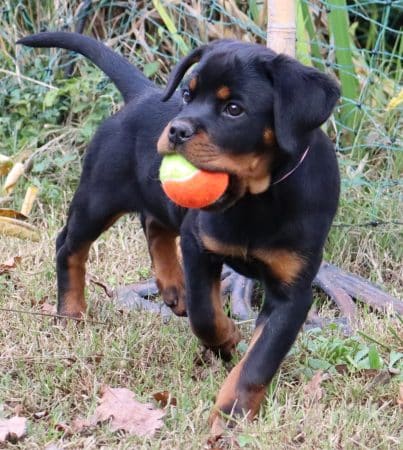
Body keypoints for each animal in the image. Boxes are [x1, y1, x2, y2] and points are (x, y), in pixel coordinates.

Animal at [19, 32, 340, 428]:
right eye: (187, 95)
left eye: (235, 109)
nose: (176, 129)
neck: (257, 198)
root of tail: (142, 93)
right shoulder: (199, 243)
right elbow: (205, 315)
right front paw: (227, 340)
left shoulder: (292, 293)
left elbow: (259, 360)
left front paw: (231, 415)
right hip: (99, 195)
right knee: (69, 245)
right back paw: (72, 312)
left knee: (153, 223)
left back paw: (173, 288)